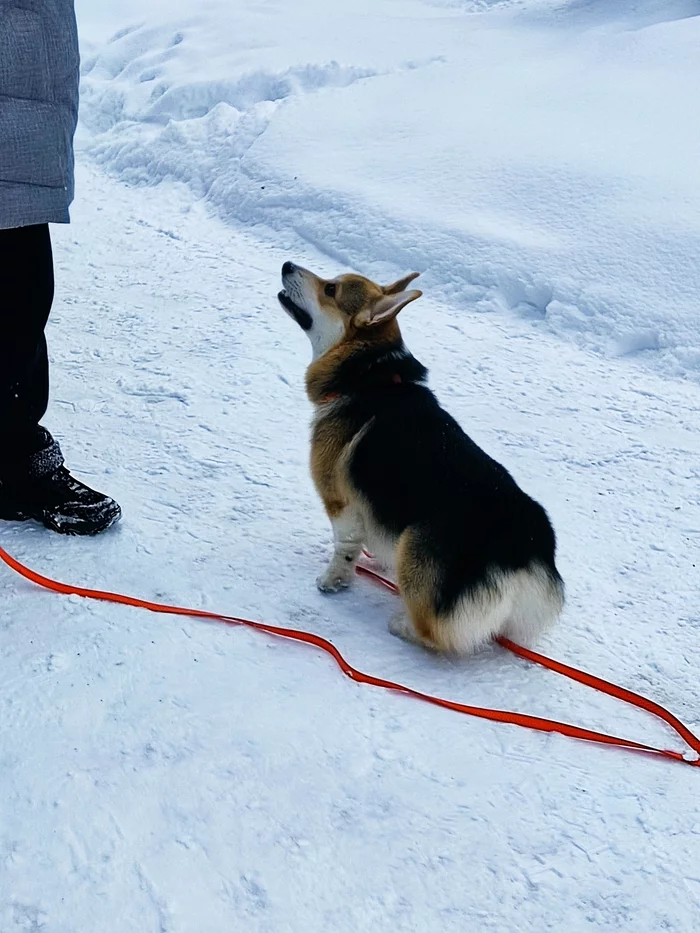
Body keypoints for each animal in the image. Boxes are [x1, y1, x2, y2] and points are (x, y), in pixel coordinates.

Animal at [278, 260, 564, 656]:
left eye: (330, 289)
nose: (287, 264)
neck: (368, 375)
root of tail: (527, 547)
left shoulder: (339, 502)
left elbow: (344, 549)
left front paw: (333, 580)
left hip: (415, 546)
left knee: (438, 634)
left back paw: (402, 625)